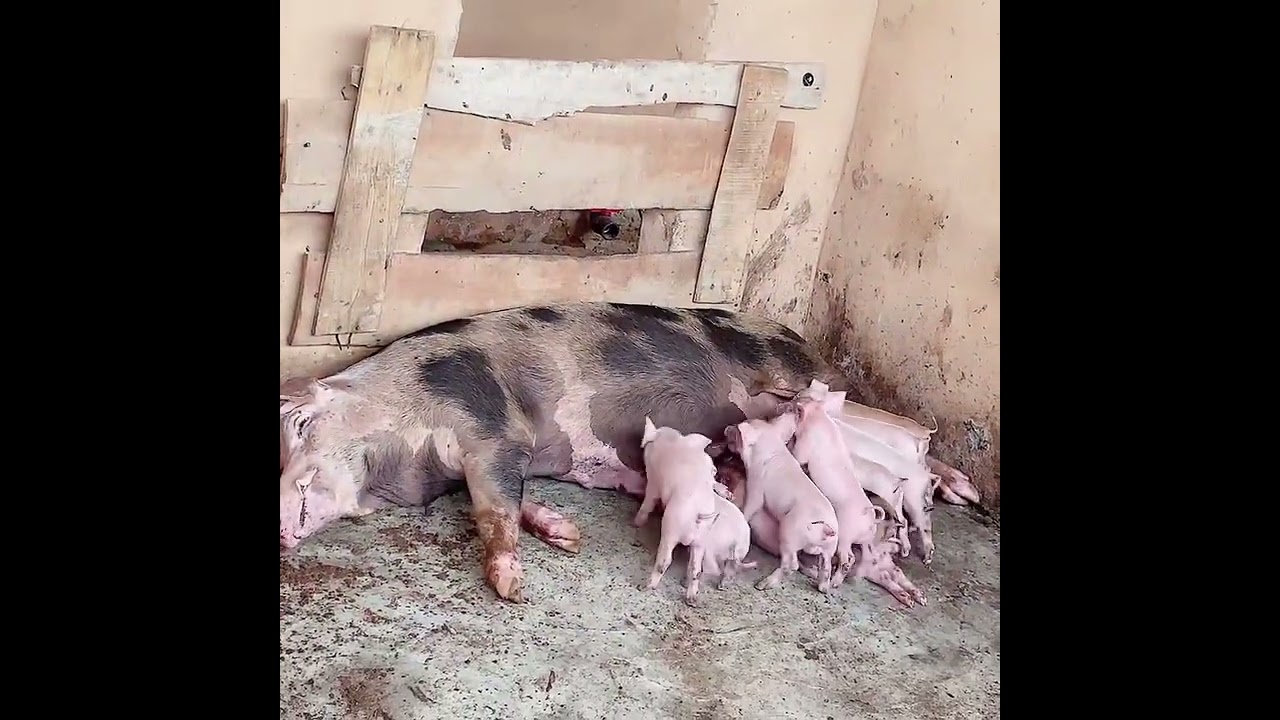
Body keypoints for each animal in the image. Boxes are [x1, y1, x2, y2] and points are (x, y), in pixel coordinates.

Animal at [726, 415, 840, 593]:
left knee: (791, 564)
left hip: (789, 532)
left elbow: (751, 506)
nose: (726, 429)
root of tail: (826, 529)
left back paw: (761, 585)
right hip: (830, 547)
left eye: (738, 431)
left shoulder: (756, 486)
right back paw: (823, 588)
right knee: (826, 566)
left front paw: (743, 514)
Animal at [785, 397, 887, 587]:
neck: (818, 417)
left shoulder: (805, 444)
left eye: (796, 404)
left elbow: (798, 456)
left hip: (846, 533)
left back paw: (834, 583)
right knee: (867, 556)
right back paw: (851, 580)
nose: (791, 400)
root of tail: (869, 517)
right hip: (866, 540)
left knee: (849, 558)